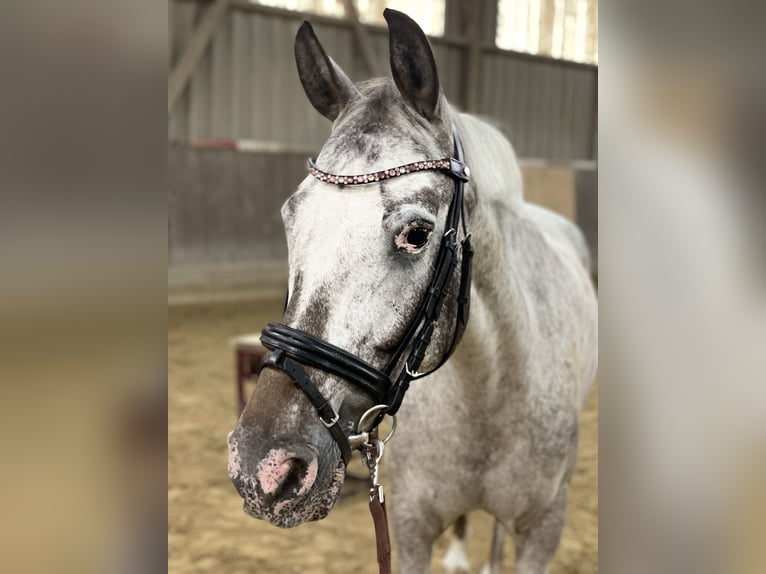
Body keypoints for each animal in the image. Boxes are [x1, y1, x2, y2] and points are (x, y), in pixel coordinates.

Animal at [228, 9, 600, 574]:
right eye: (291, 216)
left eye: (417, 233)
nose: (264, 469)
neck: (489, 393)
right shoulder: (409, 527)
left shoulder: (543, 529)